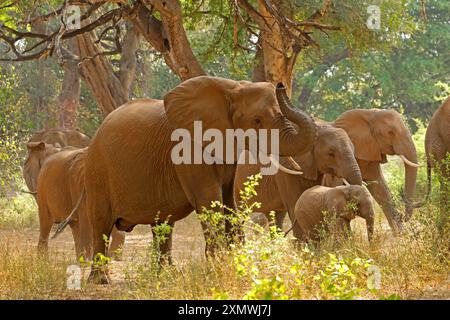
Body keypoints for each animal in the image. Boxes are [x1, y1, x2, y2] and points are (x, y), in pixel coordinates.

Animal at [84, 76, 316, 284]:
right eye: (257, 120)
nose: (280, 85)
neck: (233, 88)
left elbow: (228, 202)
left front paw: (234, 265)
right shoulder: (187, 150)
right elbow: (209, 201)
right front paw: (217, 270)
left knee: (163, 225)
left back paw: (167, 275)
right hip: (97, 171)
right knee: (101, 224)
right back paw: (100, 280)